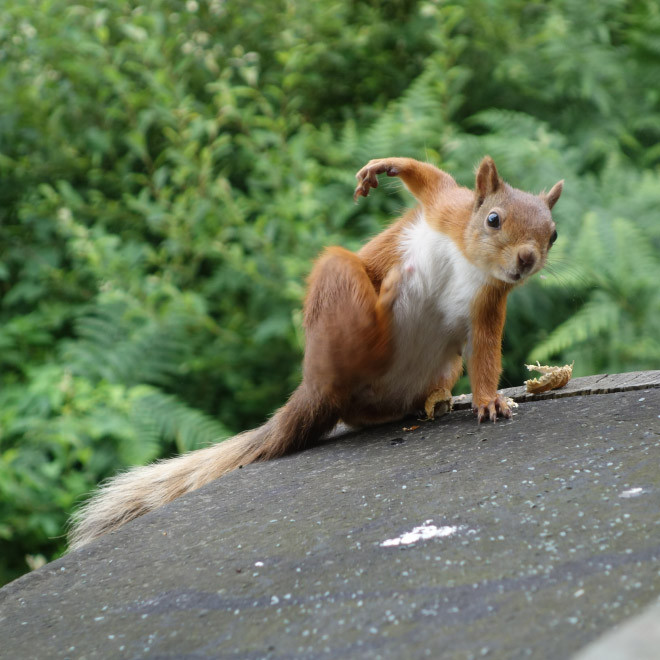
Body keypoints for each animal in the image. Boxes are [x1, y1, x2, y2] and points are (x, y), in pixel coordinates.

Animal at [67, 157, 564, 548]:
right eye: (493, 219)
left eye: (553, 234)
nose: (526, 261)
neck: (469, 260)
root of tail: (318, 390)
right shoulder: (447, 210)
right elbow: (431, 180)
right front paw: (385, 167)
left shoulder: (488, 304)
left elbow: (486, 355)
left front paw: (488, 401)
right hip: (334, 283)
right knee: (354, 319)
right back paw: (384, 306)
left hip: (431, 367)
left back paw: (433, 397)